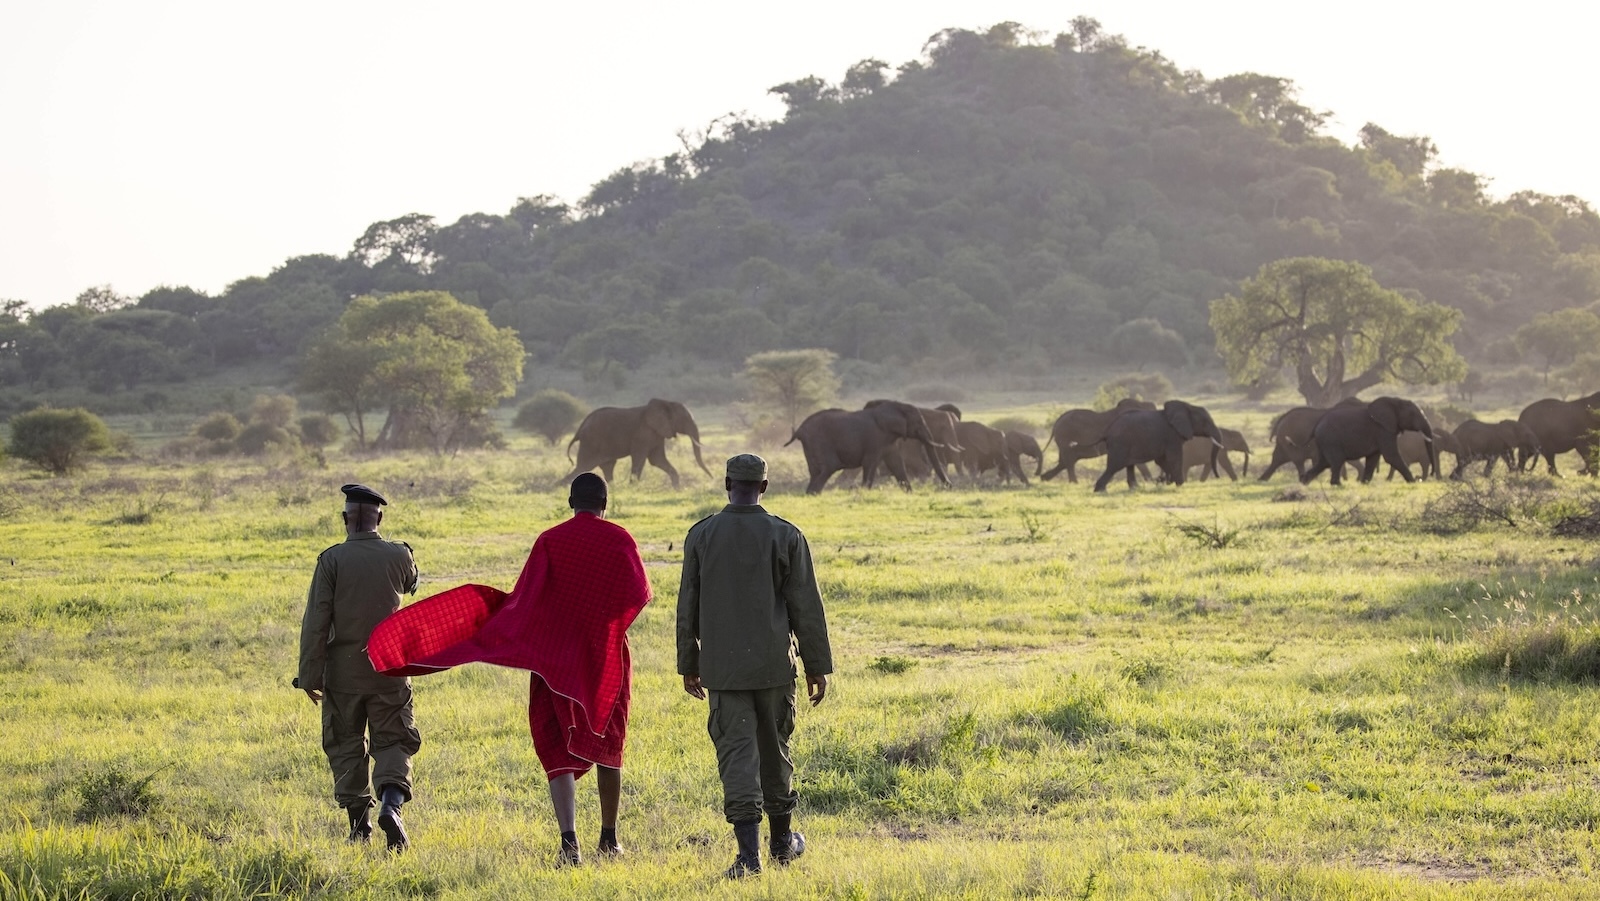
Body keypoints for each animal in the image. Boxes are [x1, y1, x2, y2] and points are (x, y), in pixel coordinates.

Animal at [566, 398, 710, 489]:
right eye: (685, 419)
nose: (712, 478)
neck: (666, 403)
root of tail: (581, 427)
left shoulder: (657, 434)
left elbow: (657, 460)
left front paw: (677, 489)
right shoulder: (643, 434)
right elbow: (640, 459)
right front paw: (633, 487)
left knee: (607, 466)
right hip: (591, 442)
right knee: (582, 467)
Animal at [784, 400, 947, 492]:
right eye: (918, 422)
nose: (948, 486)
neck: (897, 406)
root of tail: (799, 429)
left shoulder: (889, 441)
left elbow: (896, 464)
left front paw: (909, 492)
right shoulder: (875, 438)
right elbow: (870, 462)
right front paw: (865, 491)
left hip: (810, 445)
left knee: (815, 471)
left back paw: (810, 494)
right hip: (819, 441)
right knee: (830, 466)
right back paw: (814, 493)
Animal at [1299, 396, 1440, 486]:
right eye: (1413, 414)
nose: (1421, 477)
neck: (1395, 401)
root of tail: (1316, 425)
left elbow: (1373, 458)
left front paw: (1364, 483)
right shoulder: (1383, 429)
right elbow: (1391, 456)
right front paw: (1412, 482)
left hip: (1324, 441)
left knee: (1324, 462)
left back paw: (1304, 482)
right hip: (1330, 440)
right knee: (1336, 460)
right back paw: (1337, 485)